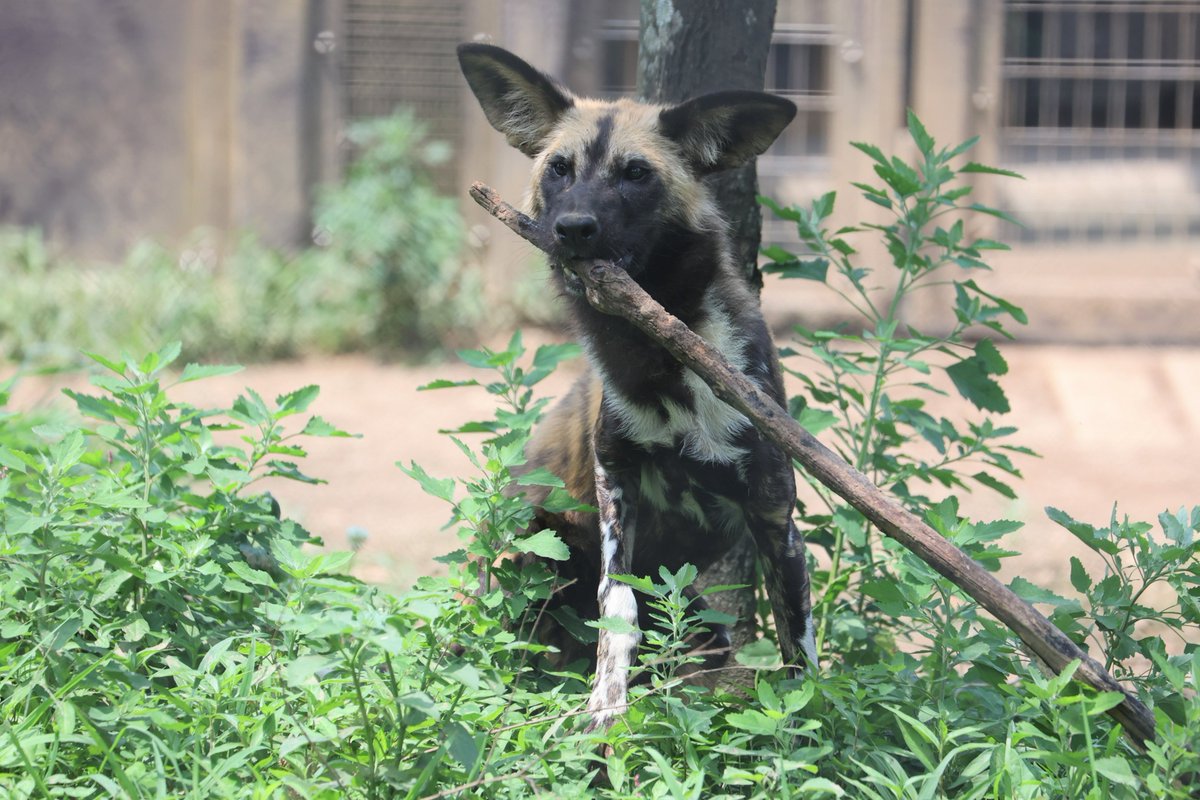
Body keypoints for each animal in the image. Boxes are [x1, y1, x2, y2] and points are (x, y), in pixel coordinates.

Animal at [458, 43, 816, 734]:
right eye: (560, 170)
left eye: (635, 174)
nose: (573, 228)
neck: (661, 359)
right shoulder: (615, 489)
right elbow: (617, 608)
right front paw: (604, 707)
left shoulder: (775, 520)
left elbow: (801, 653)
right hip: (529, 540)